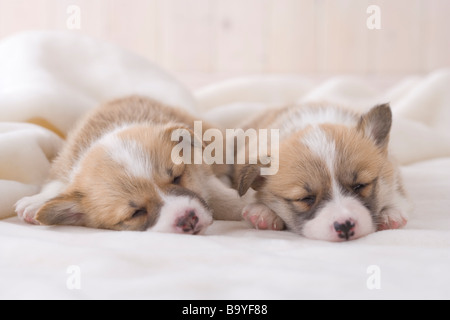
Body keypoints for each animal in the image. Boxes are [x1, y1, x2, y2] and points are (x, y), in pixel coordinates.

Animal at [15, 96, 243, 234]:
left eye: (177, 177)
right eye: (136, 213)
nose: (188, 219)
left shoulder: (202, 172)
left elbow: (224, 197)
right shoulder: (64, 163)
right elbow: (57, 184)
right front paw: (35, 202)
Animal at [232, 104, 412, 241]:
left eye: (360, 185)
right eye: (305, 198)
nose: (345, 226)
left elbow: (397, 194)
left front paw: (390, 214)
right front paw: (263, 213)